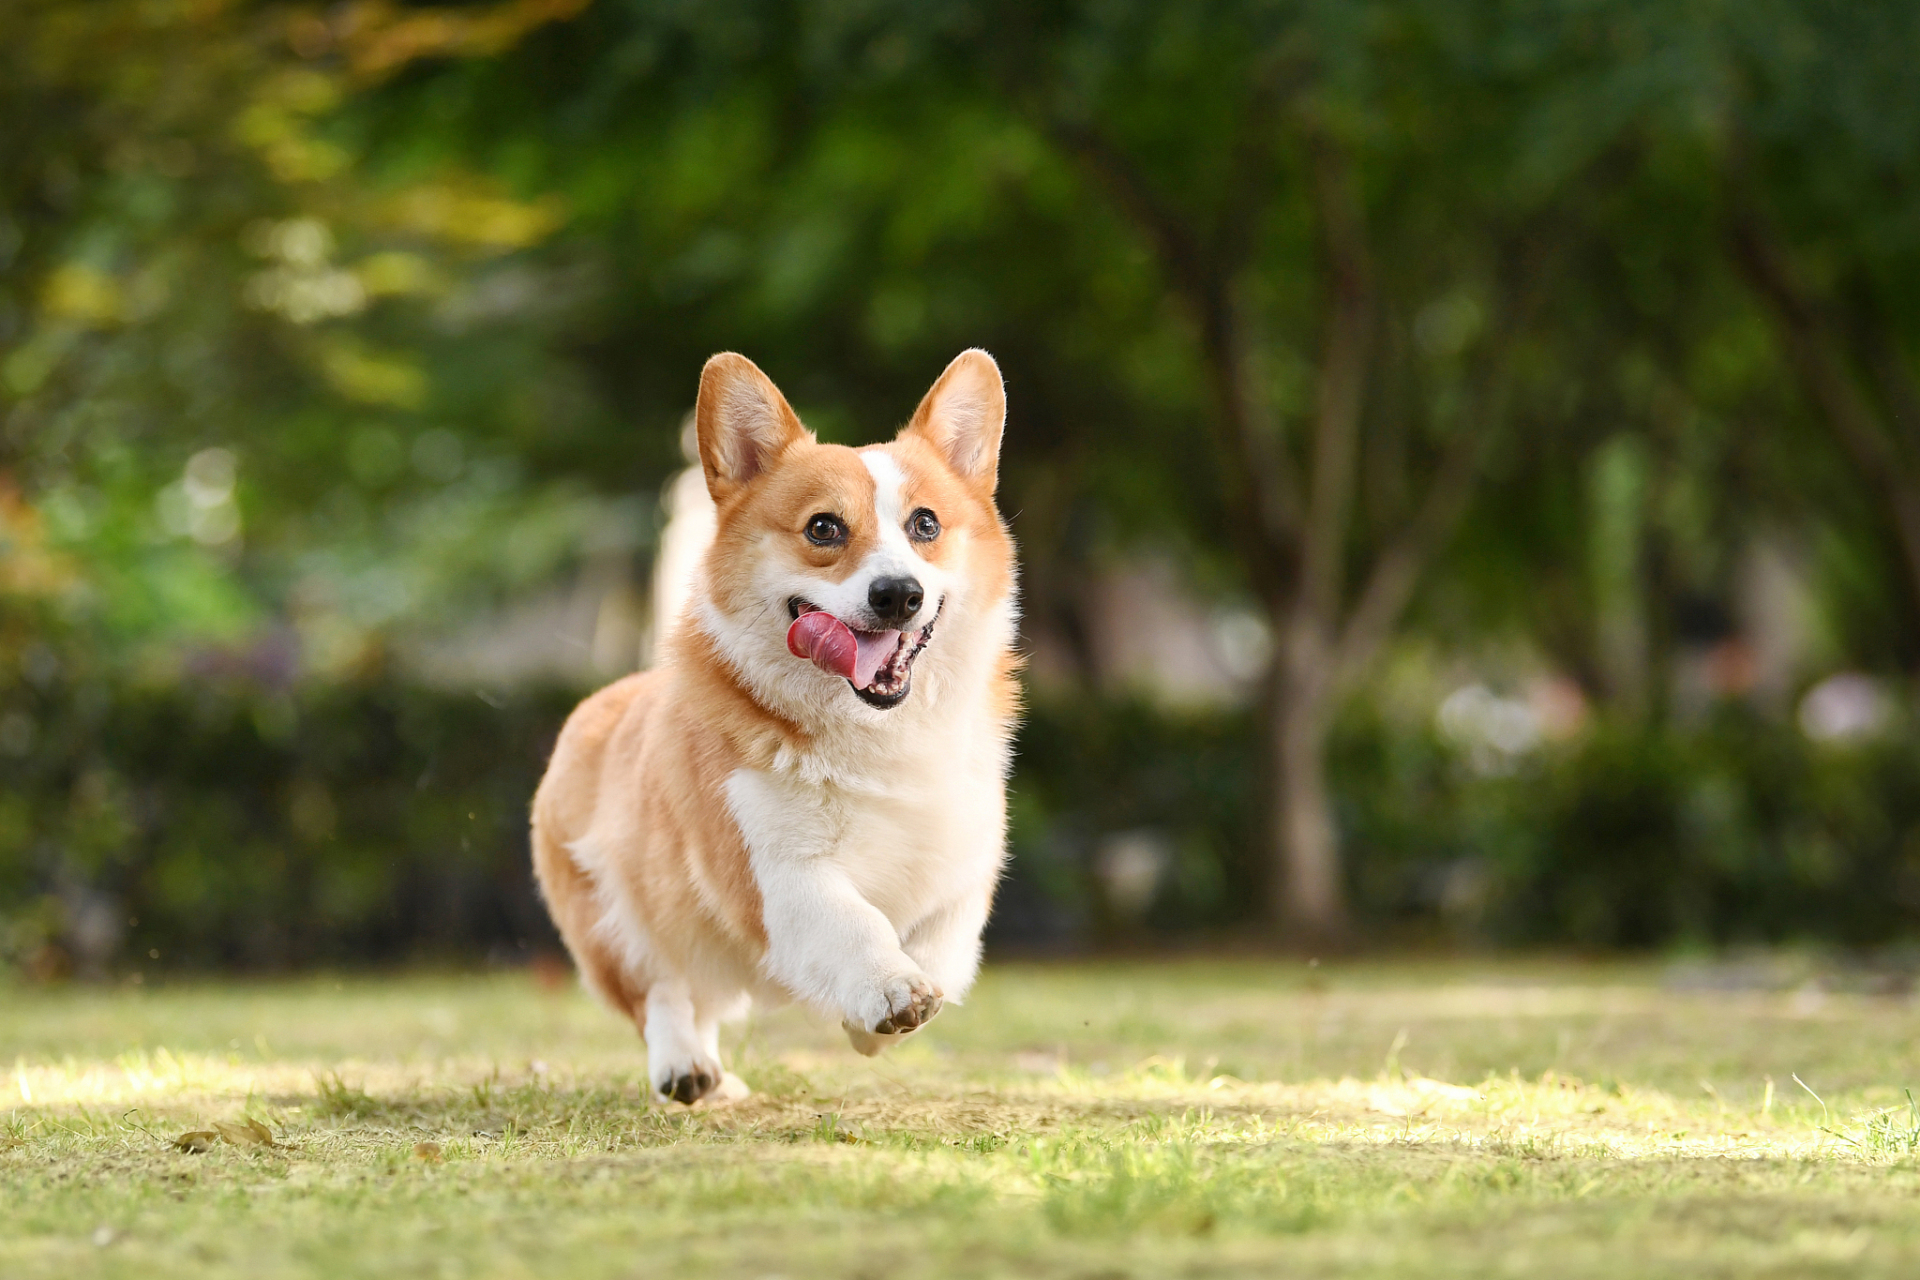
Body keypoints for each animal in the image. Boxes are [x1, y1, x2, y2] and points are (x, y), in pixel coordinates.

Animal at [529, 347, 1021, 1105]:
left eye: (926, 525)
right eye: (823, 528)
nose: (899, 595)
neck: (875, 732)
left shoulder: (965, 862)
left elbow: (942, 943)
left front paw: (876, 1022)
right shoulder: (776, 874)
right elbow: (853, 923)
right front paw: (889, 989)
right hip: (615, 924)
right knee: (663, 994)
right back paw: (686, 1067)